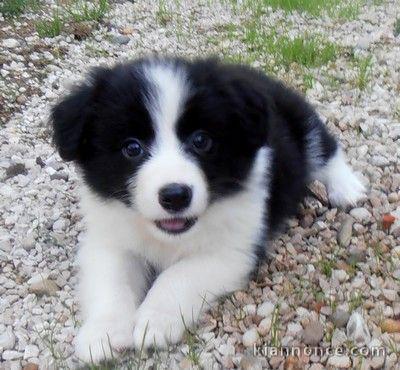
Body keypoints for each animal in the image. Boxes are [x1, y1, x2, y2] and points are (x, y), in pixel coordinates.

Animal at [50, 56, 366, 362]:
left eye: (201, 140)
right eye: (132, 148)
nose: (175, 196)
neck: (169, 237)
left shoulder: (233, 249)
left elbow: (178, 275)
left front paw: (154, 321)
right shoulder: (110, 238)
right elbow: (111, 280)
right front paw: (102, 334)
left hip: (300, 119)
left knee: (325, 149)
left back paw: (348, 188)